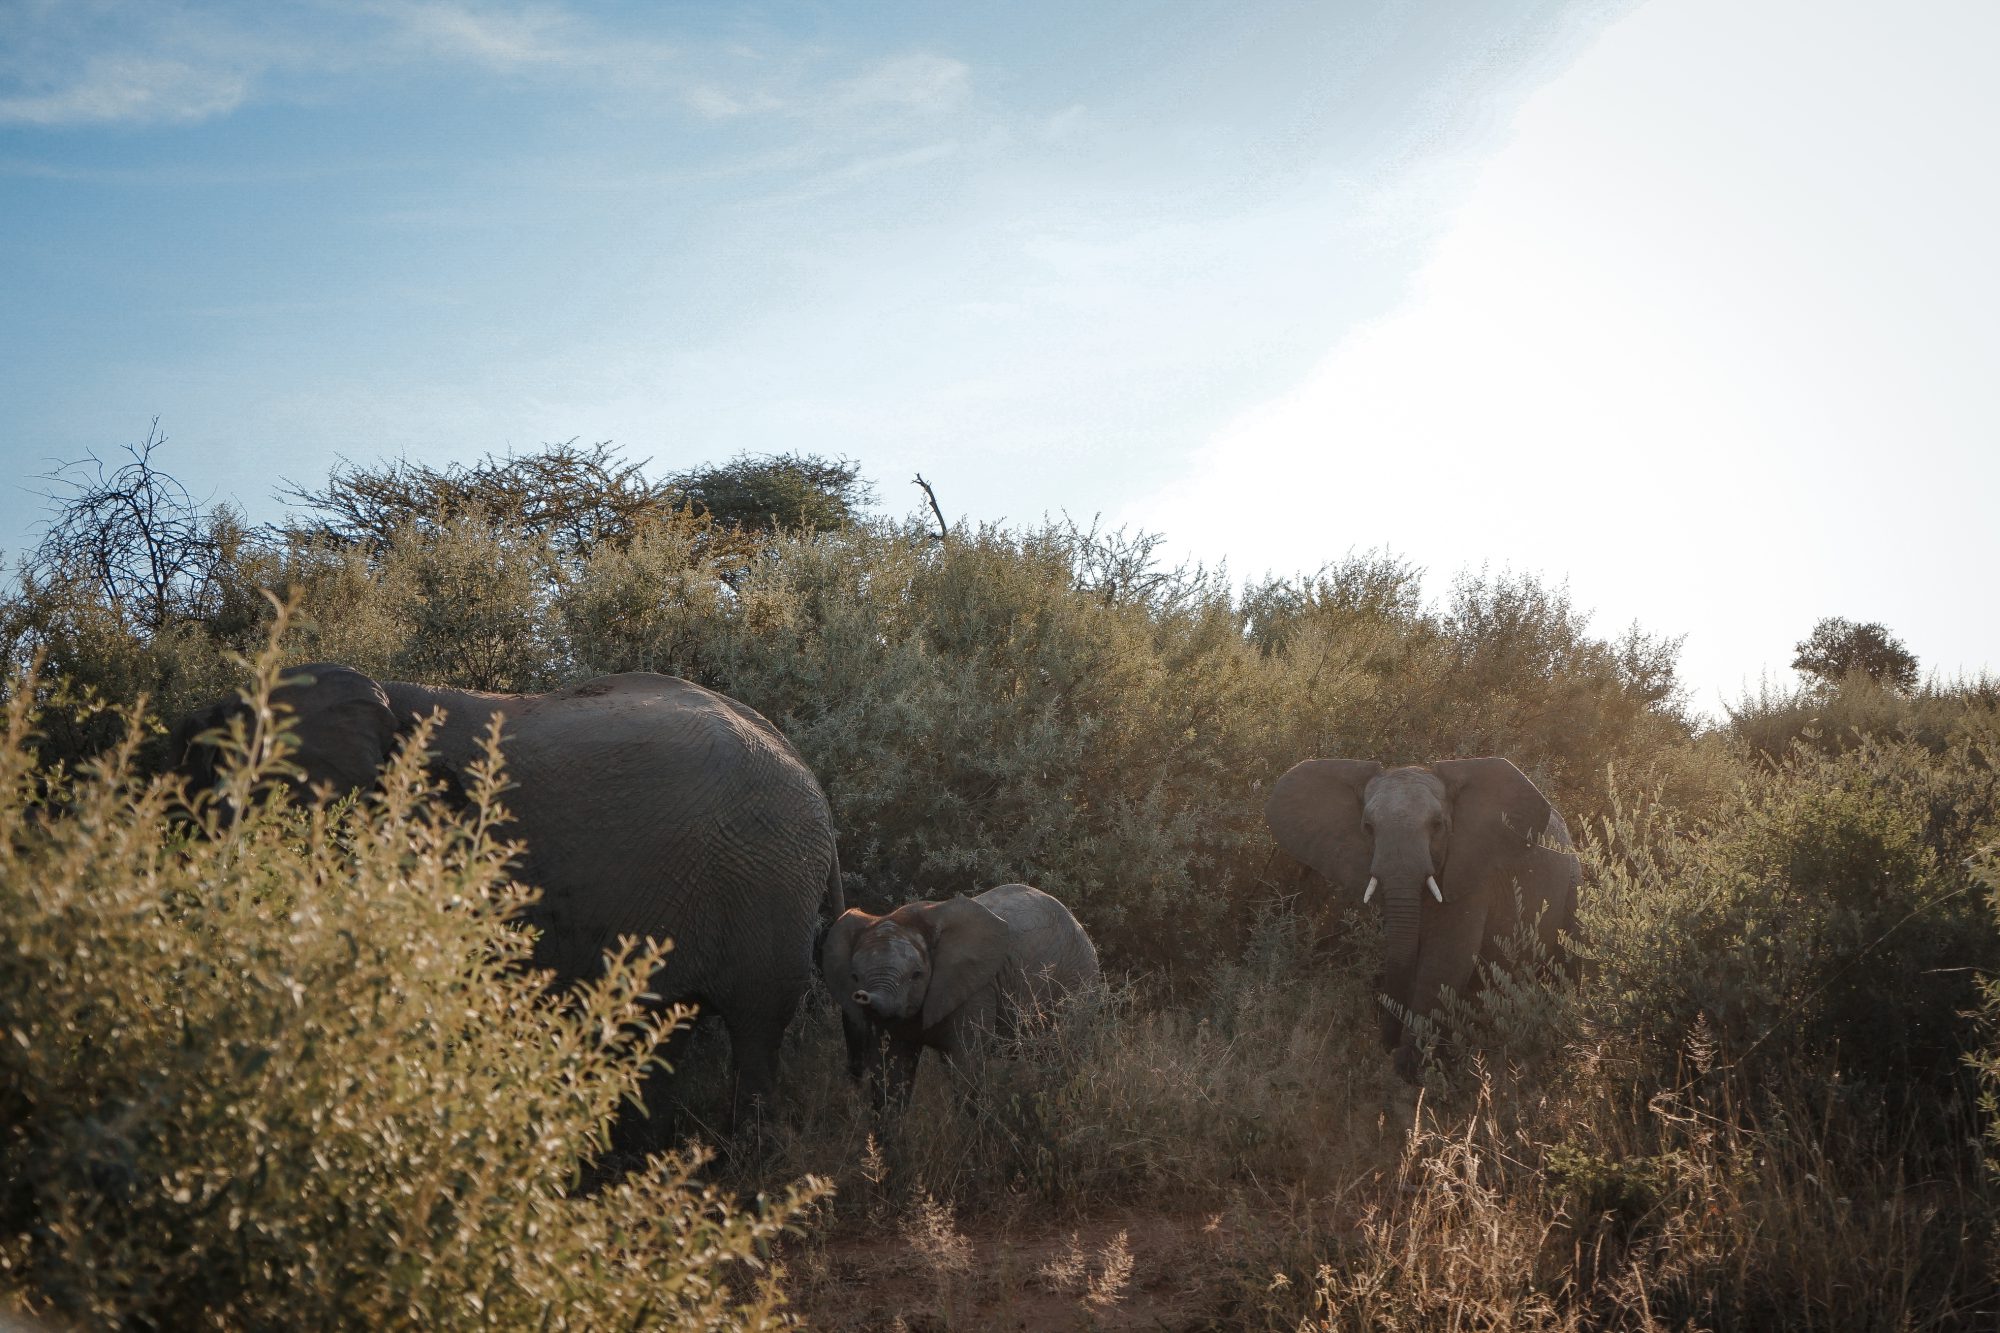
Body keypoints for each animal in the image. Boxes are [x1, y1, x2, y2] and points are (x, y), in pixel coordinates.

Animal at [820, 880, 1104, 1096]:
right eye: (855, 977)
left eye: (916, 975)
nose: (862, 997)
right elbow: (894, 1071)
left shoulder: (978, 989)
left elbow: (965, 1067)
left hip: (1077, 979)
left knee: (1065, 1054)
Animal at [1264, 756, 1576, 1080]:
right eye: (1368, 828)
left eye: (1437, 825)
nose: (1385, 1044)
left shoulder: (1471, 875)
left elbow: (1445, 961)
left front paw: (1412, 1071)